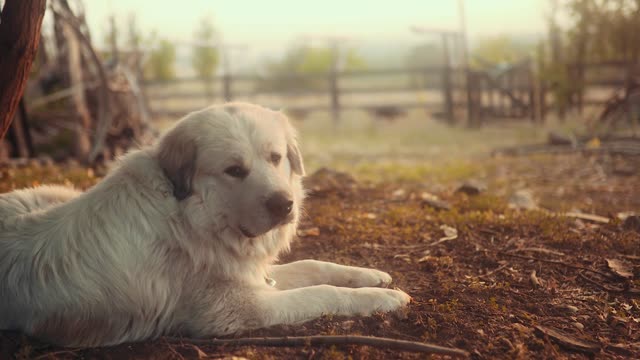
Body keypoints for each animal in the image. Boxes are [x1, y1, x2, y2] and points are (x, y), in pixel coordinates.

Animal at [0, 101, 410, 346]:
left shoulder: (249, 275)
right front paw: (382, 298)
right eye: (234, 170)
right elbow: (321, 293)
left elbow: (314, 266)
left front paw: (372, 276)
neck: (189, 217)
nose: (284, 205)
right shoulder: (237, 309)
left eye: (275, 158)